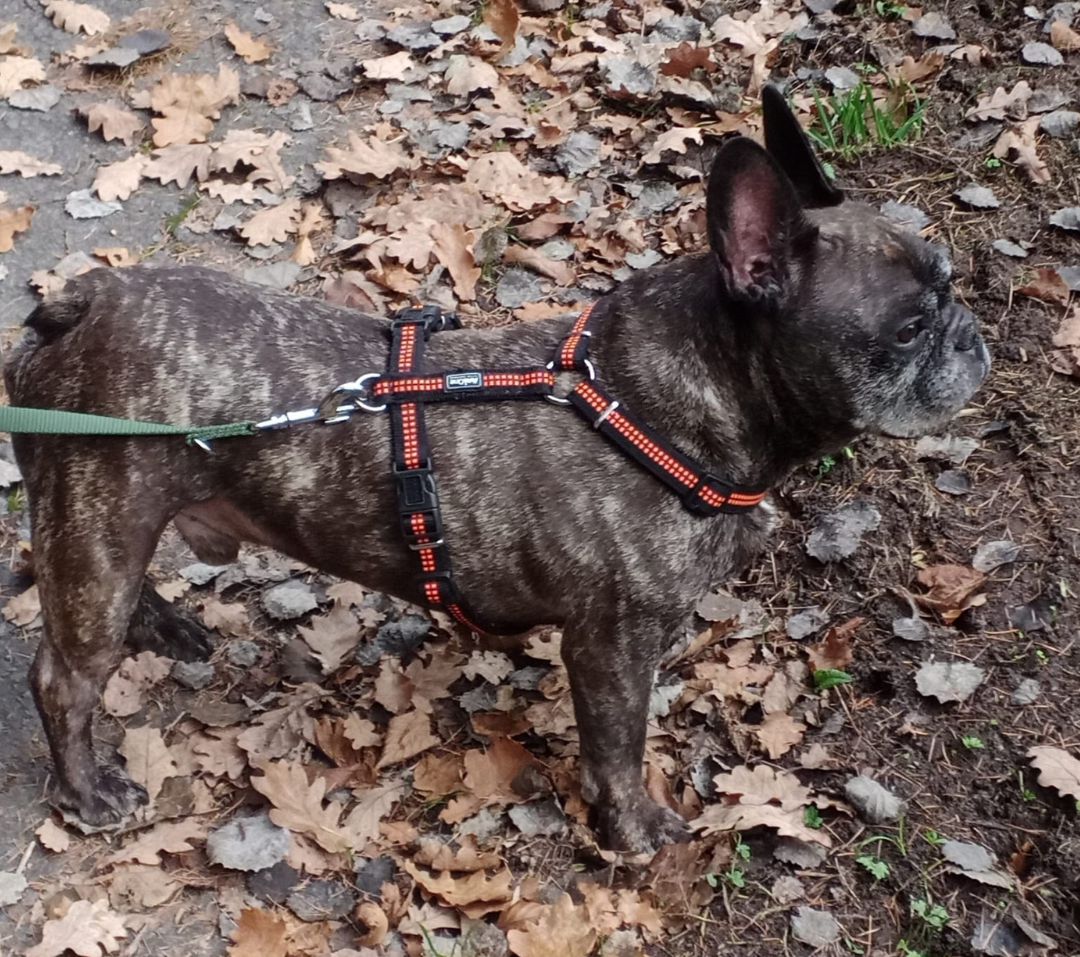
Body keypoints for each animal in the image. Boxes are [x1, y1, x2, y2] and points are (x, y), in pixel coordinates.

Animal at [4, 87, 989, 854]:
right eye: (908, 327)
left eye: (950, 283)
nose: (970, 334)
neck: (672, 392)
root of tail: (75, 303)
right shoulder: (610, 644)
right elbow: (615, 748)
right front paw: (634, 830)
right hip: (99, 525)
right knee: (64, 675)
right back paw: (88, 791)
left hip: (110, 526)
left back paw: (165, 627)